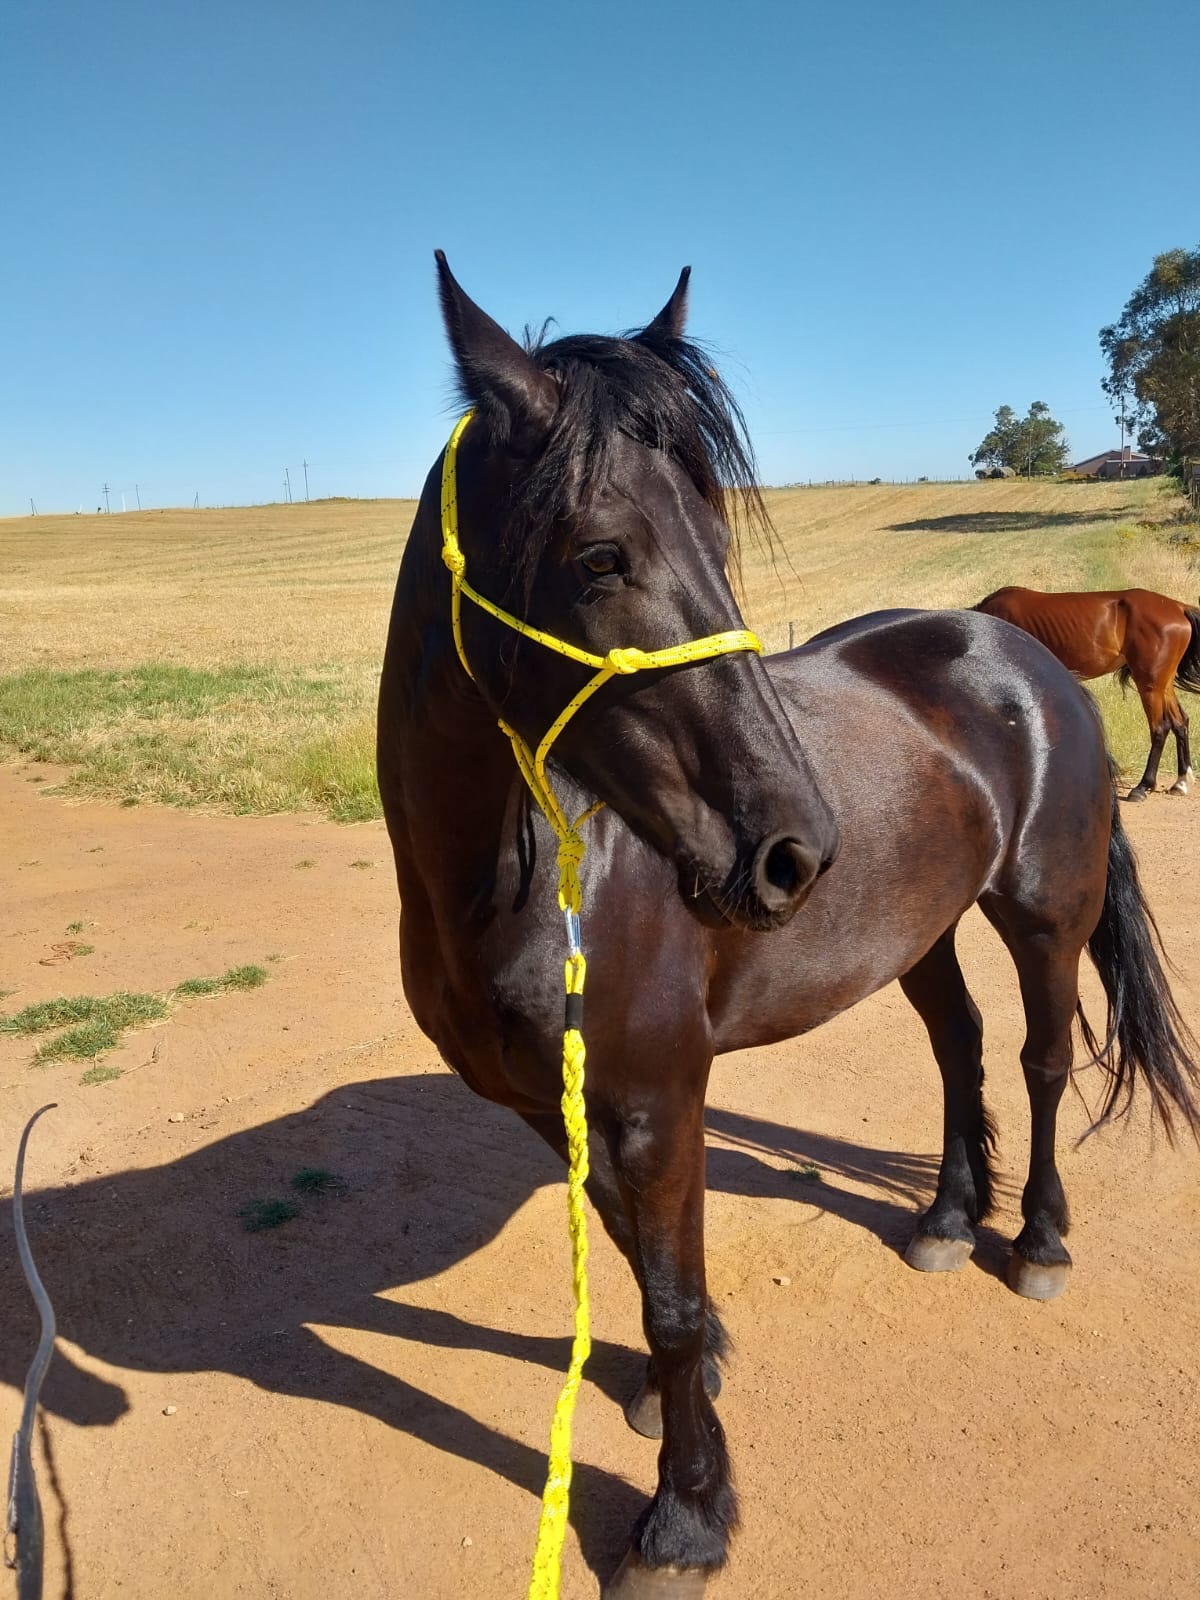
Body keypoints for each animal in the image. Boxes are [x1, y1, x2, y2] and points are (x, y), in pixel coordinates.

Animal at [979, 585, 1200, 800]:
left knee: (1160, 728)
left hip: (1150, 684)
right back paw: (1180, 782)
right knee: (1180, 722)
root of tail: (1178, 607)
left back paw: (1142, 787)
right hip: (1164, 684)